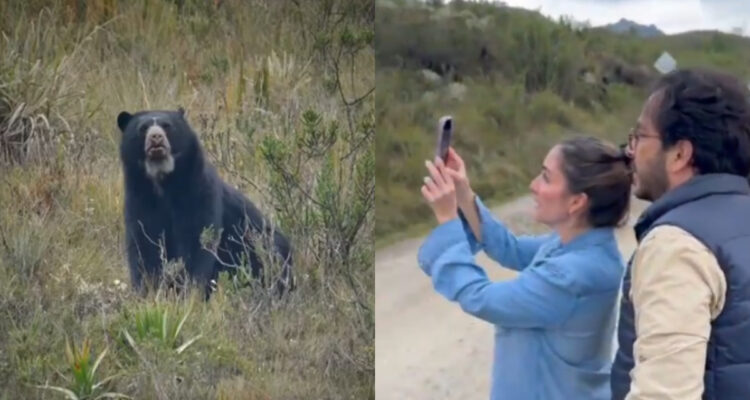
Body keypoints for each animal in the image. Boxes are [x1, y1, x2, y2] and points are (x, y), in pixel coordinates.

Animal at [116, 107, 294, 298]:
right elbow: (144, 246)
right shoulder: (138, 198)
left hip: (262, 245)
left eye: (167, 126)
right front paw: (148, 291)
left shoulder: (199, 192)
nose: (156, 137)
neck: (162, 181)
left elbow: (198, 240)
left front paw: (191, 292)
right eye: (143, 128)